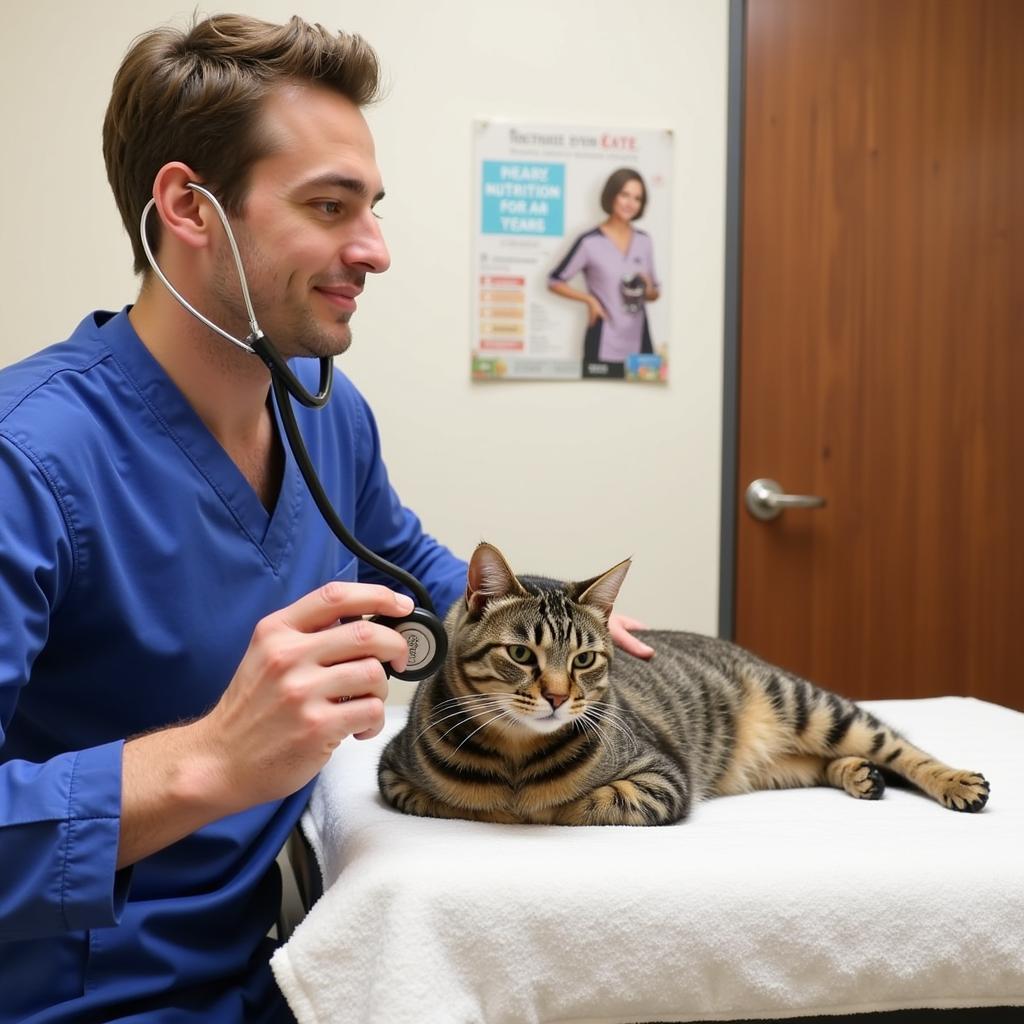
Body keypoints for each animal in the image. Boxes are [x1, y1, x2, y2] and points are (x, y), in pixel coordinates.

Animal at [378, 544, 991, 823]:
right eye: (522, 654)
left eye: (584, 660)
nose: (557, 696)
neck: (515, 756)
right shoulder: (393, 775)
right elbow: (444, 802)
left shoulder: (663, 780)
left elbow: (584, 803)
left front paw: (533, 806)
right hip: (778, 764)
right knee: (825, 761)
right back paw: (859, 775)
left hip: (812, 707)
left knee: (900, 745)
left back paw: (956, 781)